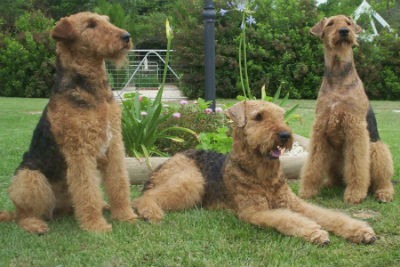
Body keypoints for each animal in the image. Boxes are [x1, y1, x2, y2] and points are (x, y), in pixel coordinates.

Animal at [0, 12, 138, 233]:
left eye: (107, 21)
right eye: (91, 25)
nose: (126, 36)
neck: (94, 91)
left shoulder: (114, 145)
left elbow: (119, 183)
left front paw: (126, 215)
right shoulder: (80, 151)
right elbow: (87, 191)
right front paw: (96, 226)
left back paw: (103, 205)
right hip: (29, 177)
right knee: (24, 214)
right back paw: (35, 224)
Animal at [133, 101, 376, 247]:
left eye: (281, 115)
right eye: (258, 116)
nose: (285, 135)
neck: (263, 174)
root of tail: (170, 158)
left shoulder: (294, 203)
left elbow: (329, 215)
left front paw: (360, 230)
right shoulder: (254, 211)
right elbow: (287, 219)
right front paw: (315, 232)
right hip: (192, 181)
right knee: (145, 197)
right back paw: (151, 214)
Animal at [300, 15, 394, 204]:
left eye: (348, 23)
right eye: (330, 24)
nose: (344, 31)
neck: (338, 75)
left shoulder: (355, 128)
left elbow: (357, 165)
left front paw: (355, 194)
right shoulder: (320, 128)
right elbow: (313, 163)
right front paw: (307, 190)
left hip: (377, 149)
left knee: (383, 180)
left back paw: (384, 193)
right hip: (333, 154)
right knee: (337, 178)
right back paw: (329, 184)